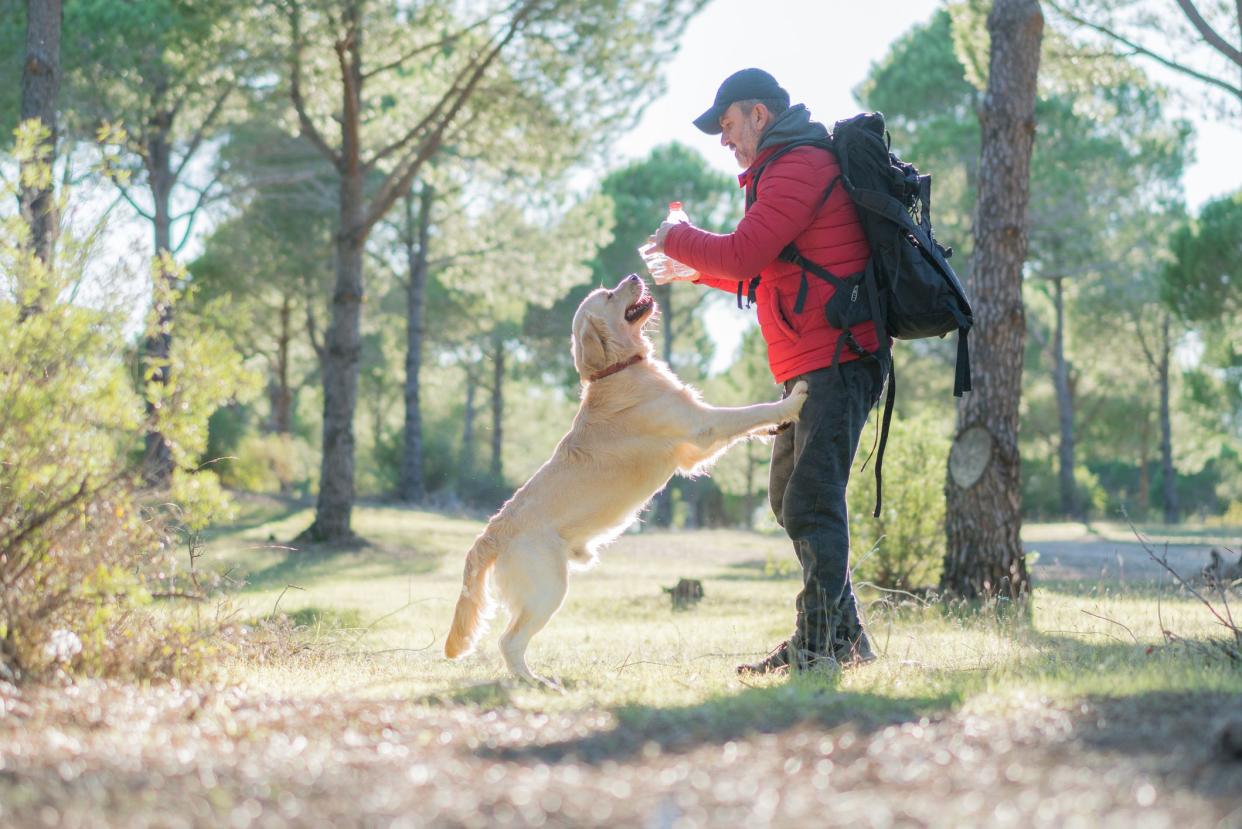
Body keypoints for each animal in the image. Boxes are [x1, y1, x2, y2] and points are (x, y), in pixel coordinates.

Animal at [444, 273, 804, 686]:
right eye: (609, 296)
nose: (634, 276)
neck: (619, 368)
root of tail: (490, 533)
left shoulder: (694, 451)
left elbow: (751, 425)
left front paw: (780, 422)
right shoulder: (703, 426)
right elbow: (749, 412)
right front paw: (792, 400)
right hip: (548, 590)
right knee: (509, 641)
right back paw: (537, 683)